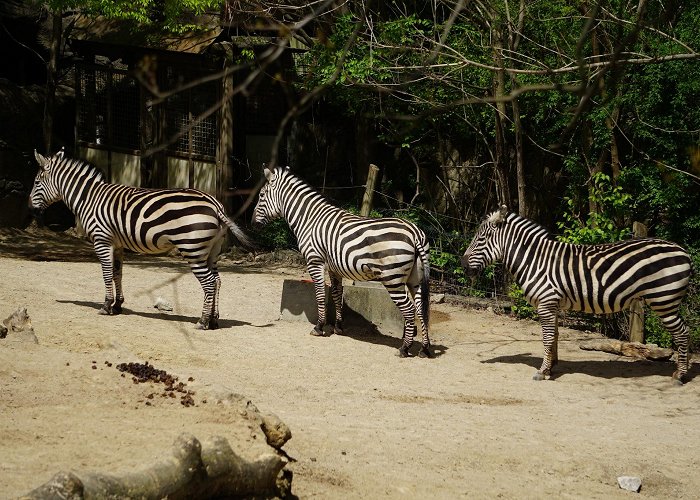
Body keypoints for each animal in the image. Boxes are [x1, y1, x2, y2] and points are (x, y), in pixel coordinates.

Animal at [30, 149, 254, 328]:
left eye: (36, 181)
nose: (30, 207)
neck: (89, 198)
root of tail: (215, 204)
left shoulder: (102, 240)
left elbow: (106, 274)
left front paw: (106, 306)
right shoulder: (117, 244)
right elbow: (117, 274)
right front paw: (117, 305)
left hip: (192, 249)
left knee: (208, 283)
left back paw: (203, 321)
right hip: (213, 250)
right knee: (217, 280)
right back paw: (214, 320)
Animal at [252, 166, 432, 358]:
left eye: (261, 195)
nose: (252, 223)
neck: (309, 219)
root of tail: (415, 232)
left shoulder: (314, 261)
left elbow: (320, 294)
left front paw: (319, 327)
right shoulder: (334, 268)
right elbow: (337, 294)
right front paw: (338, 327)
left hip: (392, 278)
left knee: (410, 310)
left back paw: (405, 348)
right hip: (415, 278)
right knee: (421, 309)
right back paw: (424, 349)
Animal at [462, 205, 692, 384]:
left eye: (481, 238)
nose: (463, 265)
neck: (534, 260)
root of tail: (684, 251)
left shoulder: (545, 303)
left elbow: (547, 338)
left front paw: (542, 372)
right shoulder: (552, 304)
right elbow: (554, 337)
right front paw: (551, 367)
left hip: (664, 300)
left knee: (682, 333)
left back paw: (680, 375)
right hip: (667, 301)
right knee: (685, 331)